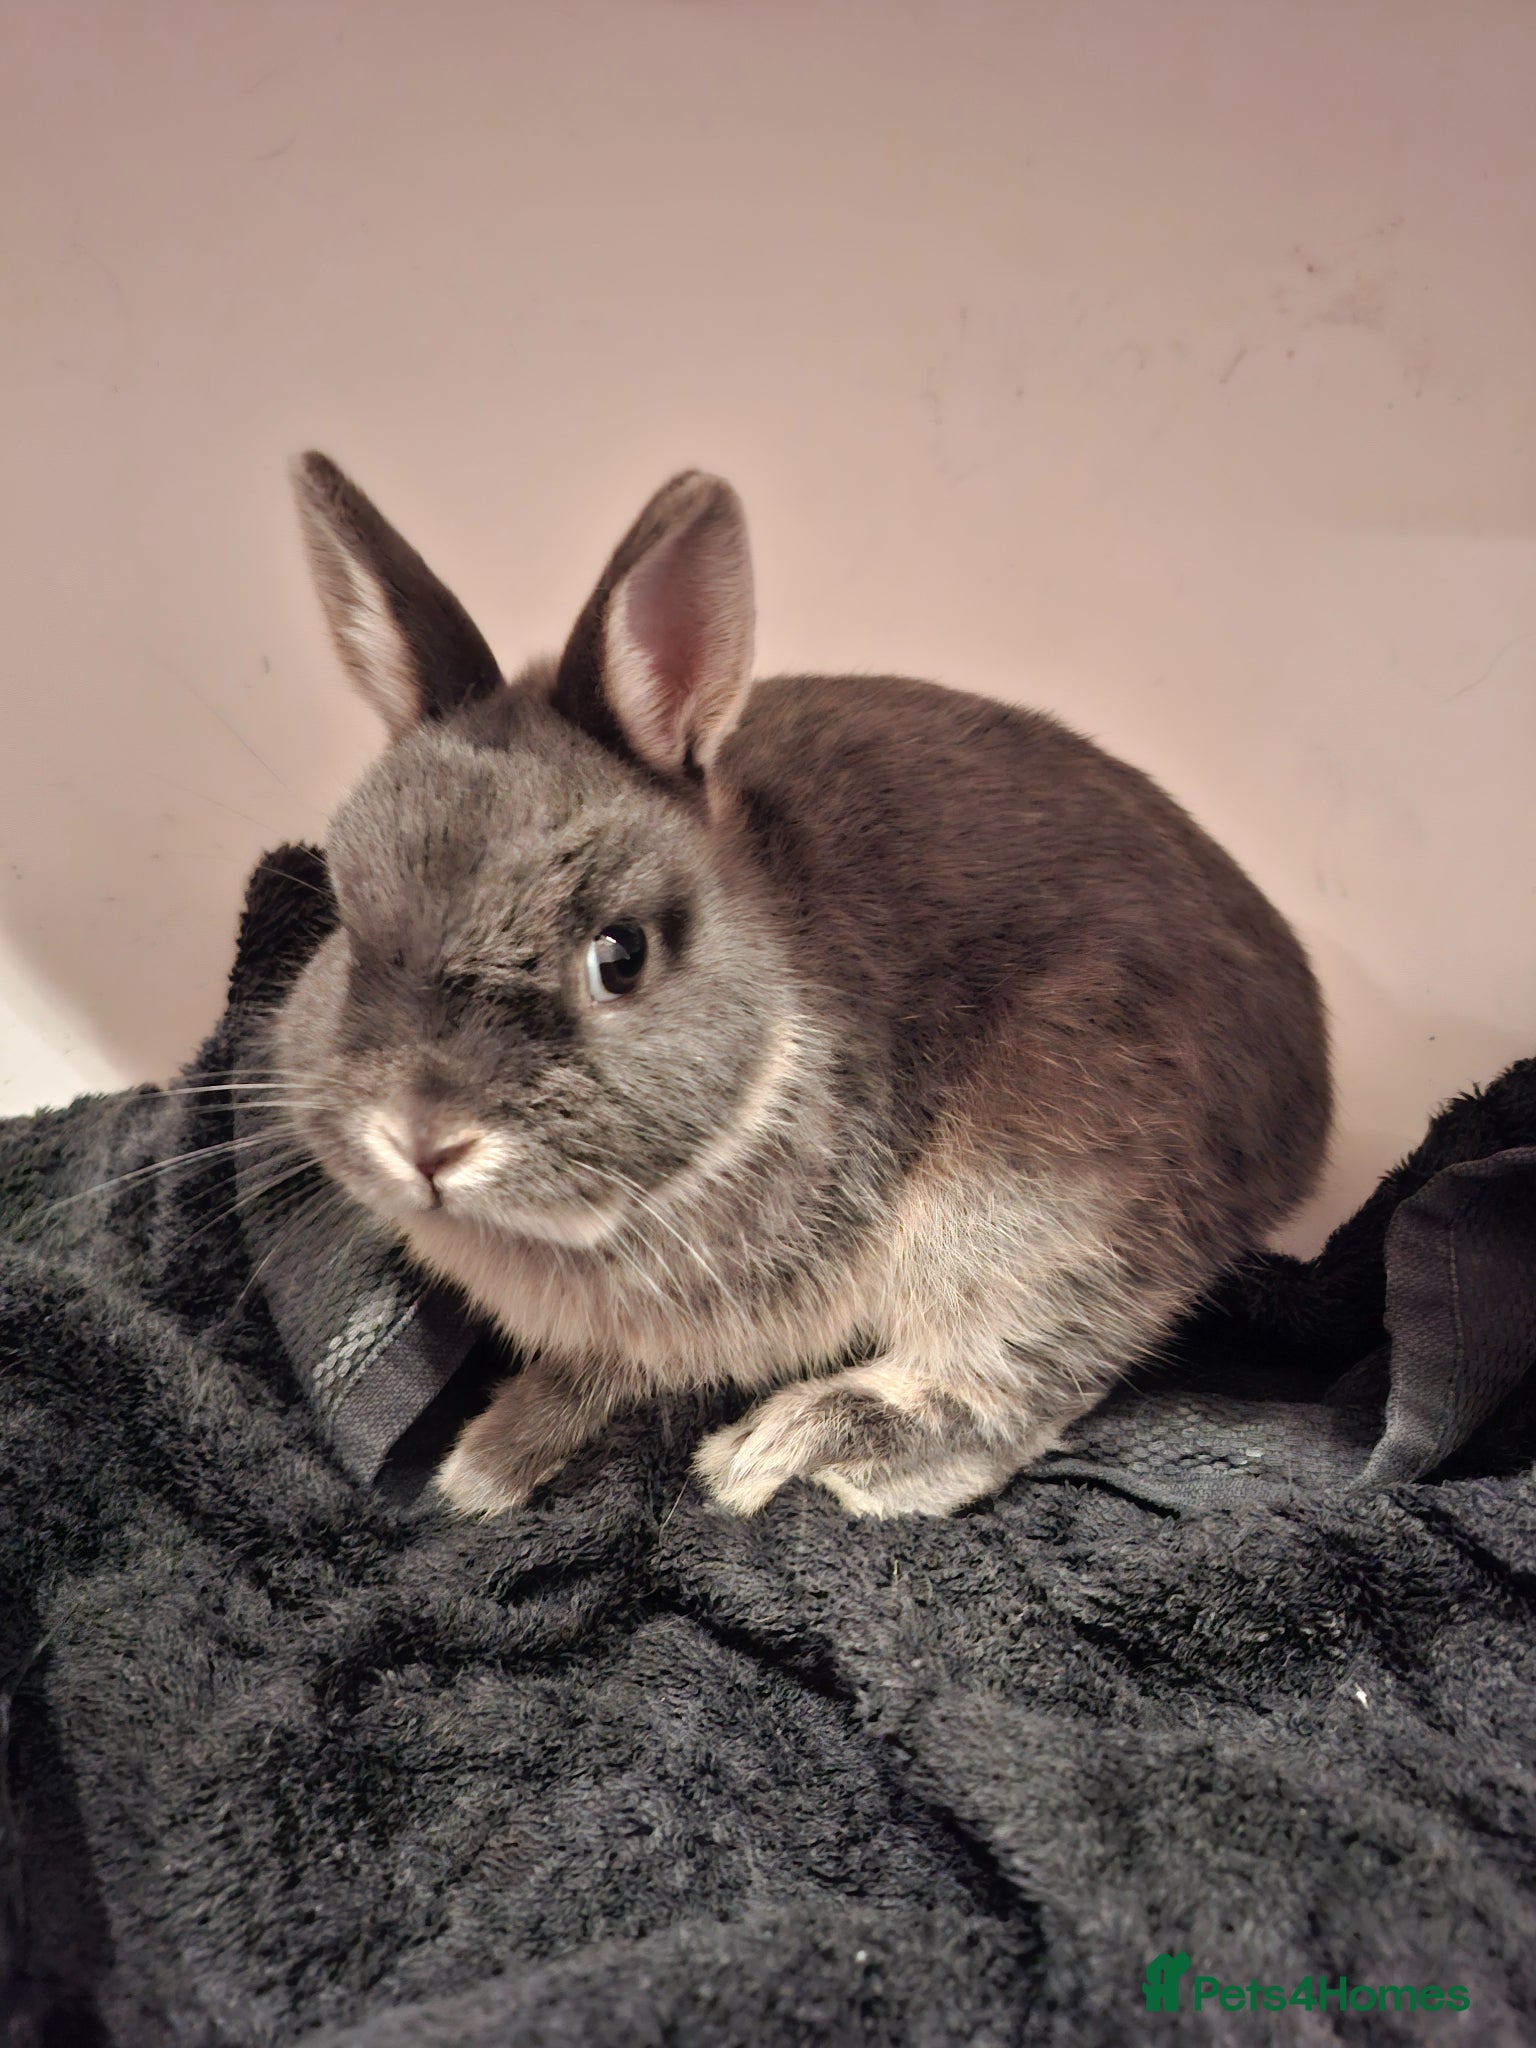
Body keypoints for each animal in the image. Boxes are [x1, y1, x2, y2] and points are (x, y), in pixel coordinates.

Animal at [272, 452, 1331, 1520]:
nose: (424, 1141)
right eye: (347, 919)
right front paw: (492, 1464)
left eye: (620, 955)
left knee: (1009, 1382)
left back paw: (786, 1453)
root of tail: (1308, 1092)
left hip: (1034, 1191)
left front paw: (481, 1472)